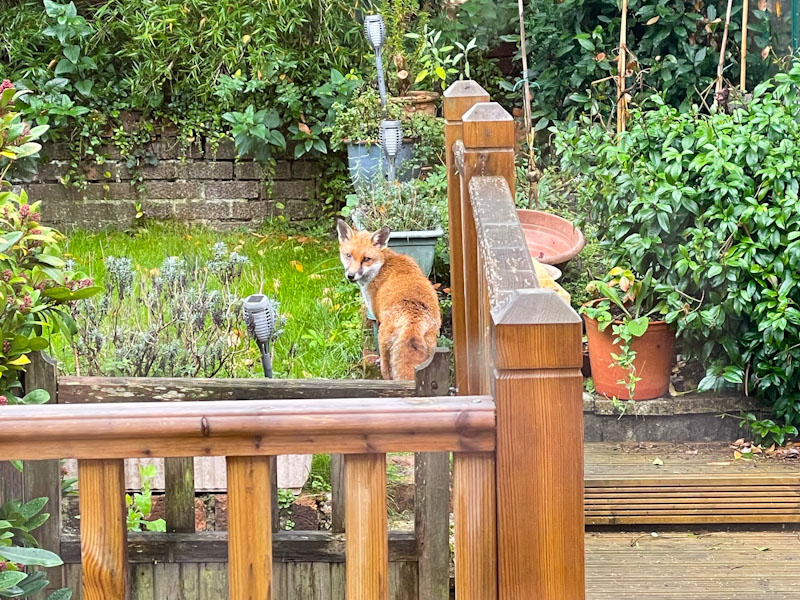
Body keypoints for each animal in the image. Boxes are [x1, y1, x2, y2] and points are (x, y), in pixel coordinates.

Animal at [337, 220, 441, 381]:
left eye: (366, 259)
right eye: (348, 255)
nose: (351, 276)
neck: (381, 266)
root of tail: (413, 321)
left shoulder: (377, 316)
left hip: (384, 345)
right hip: (431, 351)